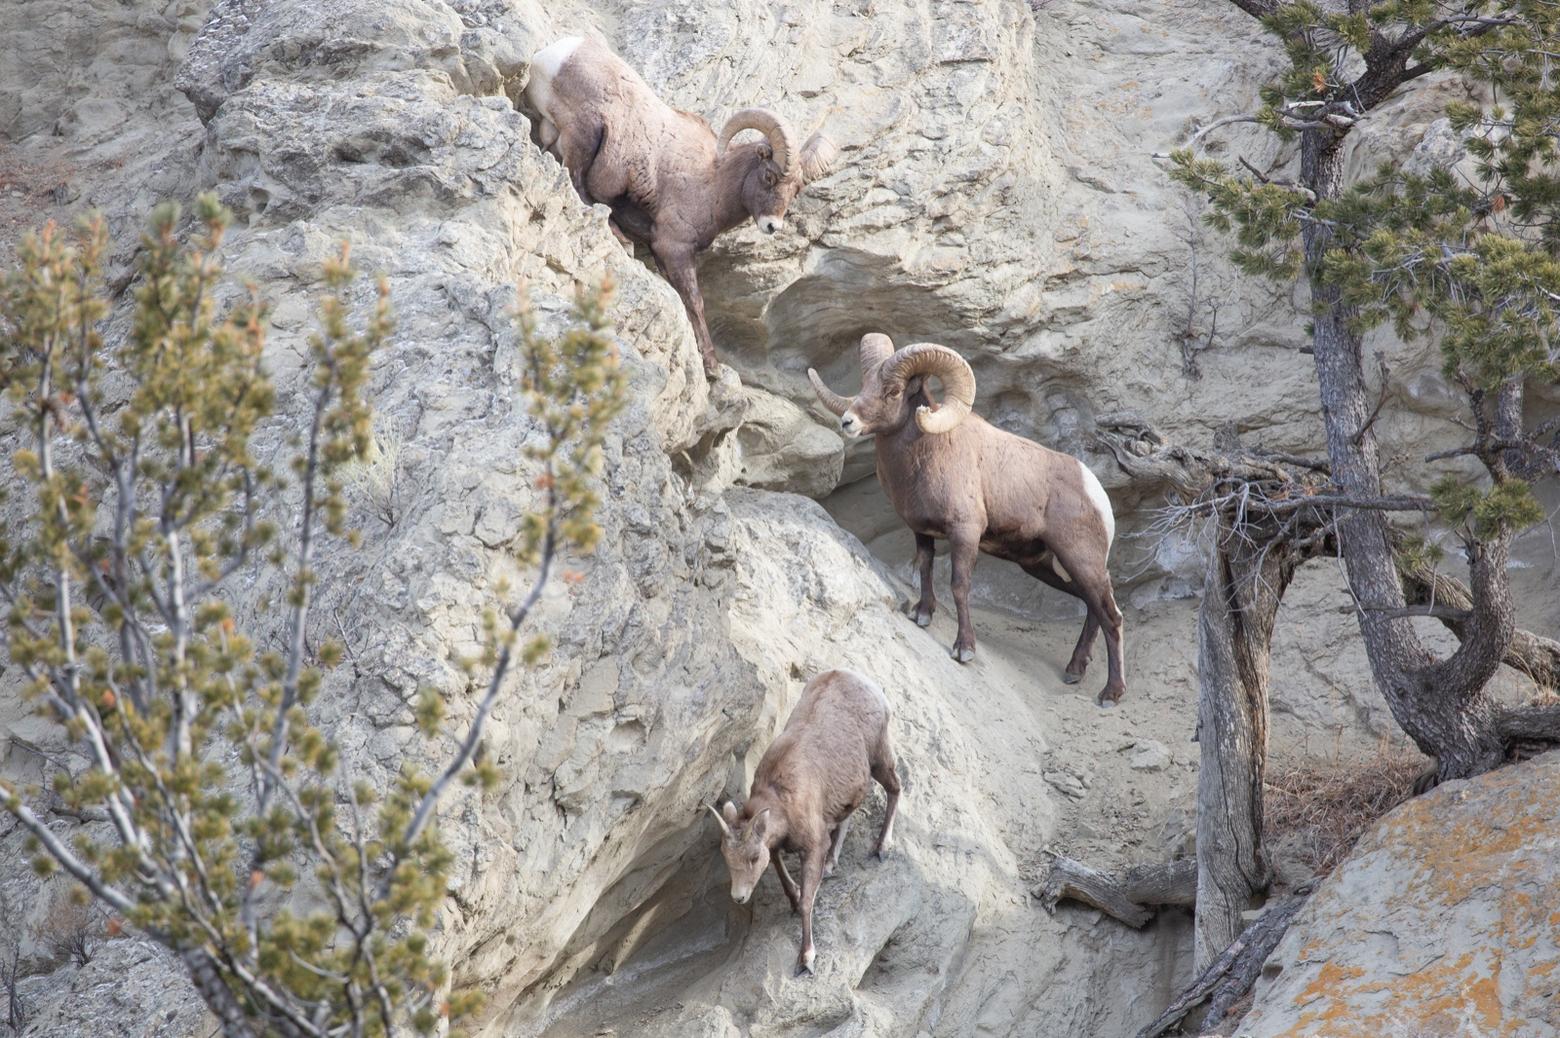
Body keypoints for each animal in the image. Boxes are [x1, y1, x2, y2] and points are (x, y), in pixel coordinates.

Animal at [527, 36, 842, 376]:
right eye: (769, 176)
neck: (712, 183)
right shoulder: (674, 247)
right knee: (578, 184)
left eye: (795, 190)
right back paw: (622, 240)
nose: (772, 226)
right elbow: (694, 301)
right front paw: (711, 366)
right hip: (587, 133)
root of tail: (558, 54)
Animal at [711, 668, 904, 974]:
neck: (781, 795)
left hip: (880, 757)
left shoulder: (812, 846)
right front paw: (793, 897)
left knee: (896, 787)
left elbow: (807, 903)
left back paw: (881, 848)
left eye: (753, 857)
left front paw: (806, 960)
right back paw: (832, 864)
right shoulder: (779, 844)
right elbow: (783, 874)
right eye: (726, 857)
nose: (739, 896)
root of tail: (865, 682)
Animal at [811, 338, 1129, 705]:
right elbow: (924, 567)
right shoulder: (922, 532)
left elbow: (959, 586)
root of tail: (1095, 491)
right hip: (1043, 565)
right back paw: (1075, 670)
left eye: (892, 391)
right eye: (864, 385)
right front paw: (922, 614)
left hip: (1080, 559)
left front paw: (964, 649)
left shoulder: (964, 534)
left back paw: (1111, 693)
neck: (927, 454)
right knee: (1091, 606)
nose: (848, 422)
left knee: (1112, 616)